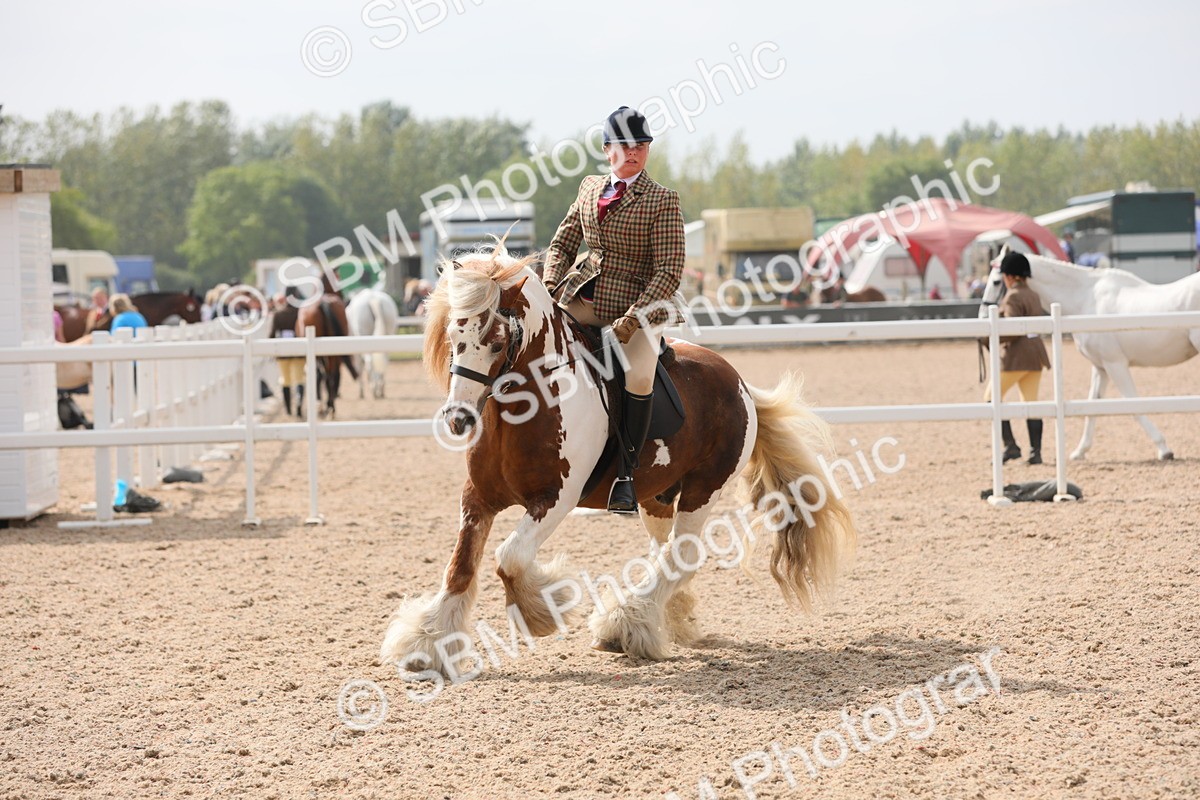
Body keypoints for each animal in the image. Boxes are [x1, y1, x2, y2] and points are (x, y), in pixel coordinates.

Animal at [379, 249, 856, 675]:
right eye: (452, 337)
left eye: (497, 342)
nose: (458, 419)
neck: (530, 405)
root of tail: (737, 379)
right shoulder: (477, 498)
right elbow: (461, 568)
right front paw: (427, 643)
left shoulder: (556, 498)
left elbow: (510, 558)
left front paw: (542, 611)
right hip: (656, 498)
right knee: (669, 553)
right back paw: (669, 616)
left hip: (703, 489)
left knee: (683, 553)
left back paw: (626, 624)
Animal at [981, 250, 1200, 460]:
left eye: (996, 281)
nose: (982, 316)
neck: (1087, 299)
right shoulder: (1101, 367)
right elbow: (1091, 407)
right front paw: (1080, 451)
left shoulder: (1115, 364)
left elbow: (1133, 406)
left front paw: (1164, 449)